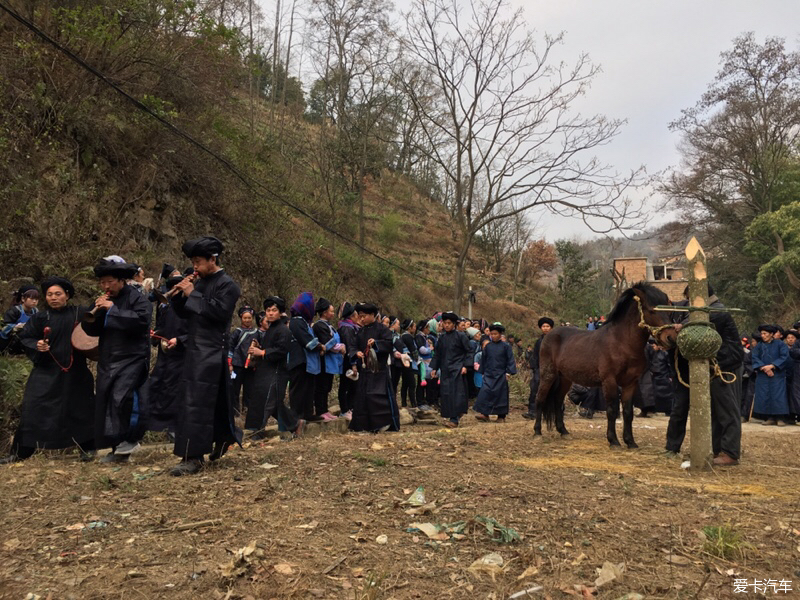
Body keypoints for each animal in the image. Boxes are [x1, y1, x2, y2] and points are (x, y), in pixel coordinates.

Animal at [536, 284, 680, 448]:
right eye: (651, 310)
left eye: (669, 311)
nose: (670, 338)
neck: (622, 343)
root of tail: (548, 334)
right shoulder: (609, 380)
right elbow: (611, 410)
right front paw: (614, 441)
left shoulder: (631, 383)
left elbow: (628, 412)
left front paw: (630, 441)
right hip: (548, 375)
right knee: (540, 398)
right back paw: (537, 432)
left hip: (565, 378)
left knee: (558, 401)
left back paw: (563, 431)